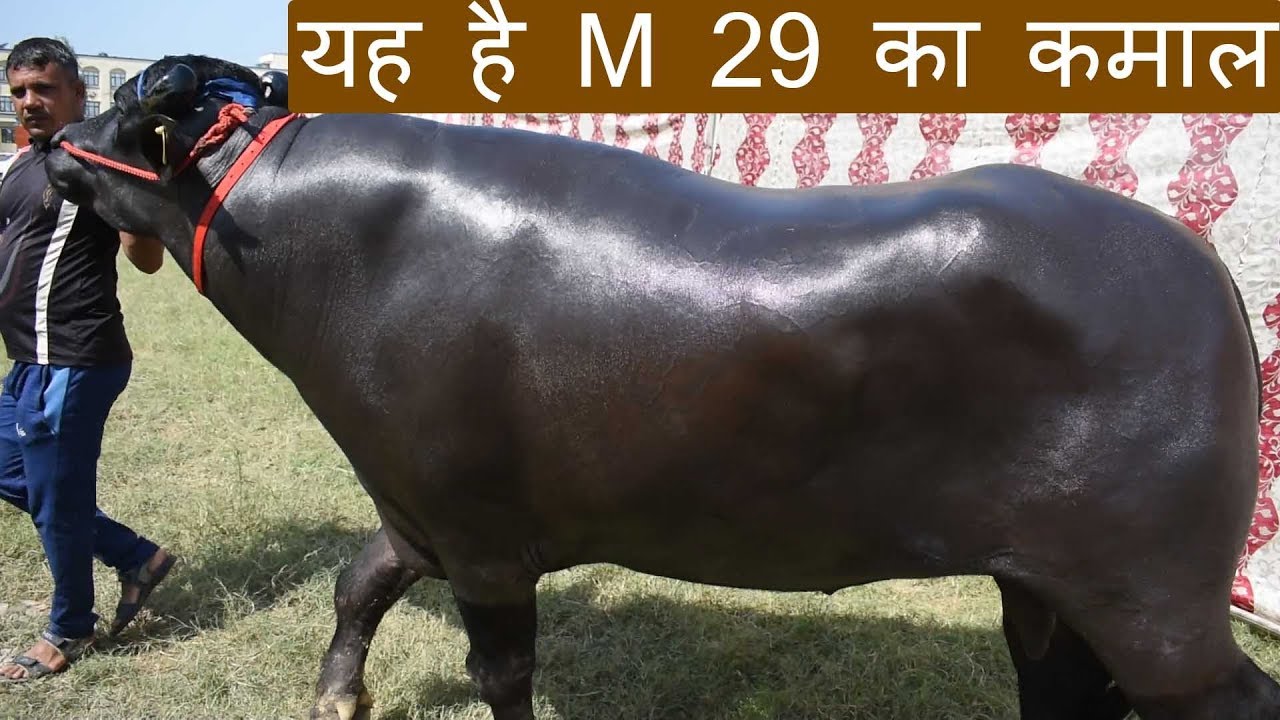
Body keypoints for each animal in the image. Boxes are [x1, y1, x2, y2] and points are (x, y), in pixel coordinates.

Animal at [40, 54, 1280, 720]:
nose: (50, 143)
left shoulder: (483, 543)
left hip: (1151, 596)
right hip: (1044, 584)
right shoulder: (415, 511)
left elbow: (499, 671)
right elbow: (358, 584)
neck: (337, 244)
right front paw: (337, 694)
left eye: (133, 118)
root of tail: (1202, 266)